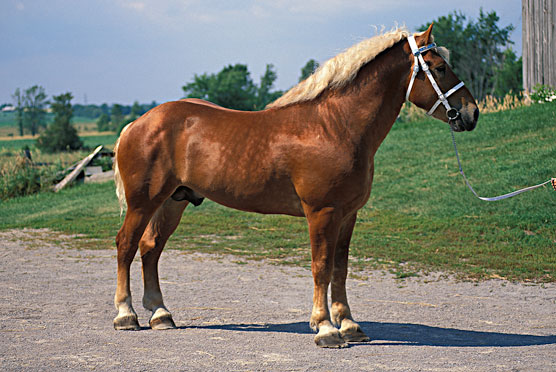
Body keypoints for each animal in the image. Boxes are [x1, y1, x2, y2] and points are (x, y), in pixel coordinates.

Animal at [112, 24, 478, 348]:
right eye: (440, 67)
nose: (471, 113)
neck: (335, 126)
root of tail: (137, 123)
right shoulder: (321, 212)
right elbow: (321, 267)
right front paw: (326, 329)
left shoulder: (348, 215)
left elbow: (340, 269)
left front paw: (349, 325)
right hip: (143, 202)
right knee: (126, 245)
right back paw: (126, 315)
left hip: (174, 201)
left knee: (150, 249)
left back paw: (161, 314)